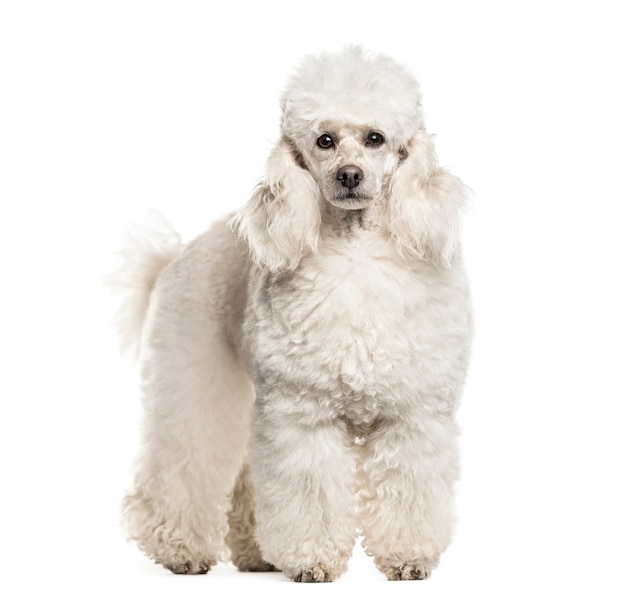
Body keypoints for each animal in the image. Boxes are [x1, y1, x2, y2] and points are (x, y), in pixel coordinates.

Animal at [112, 47, 470, 580]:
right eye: (324, 141)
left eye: (376, 138)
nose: (349, 175)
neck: (356, 253)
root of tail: (177, 255)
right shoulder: (303, 413)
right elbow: (308, 493)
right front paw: (311, 561)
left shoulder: (412, 414)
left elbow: (409, 489)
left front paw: (408, 559)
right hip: (195, 377)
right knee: (184, 460)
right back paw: (180, 550)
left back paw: (255, 552)